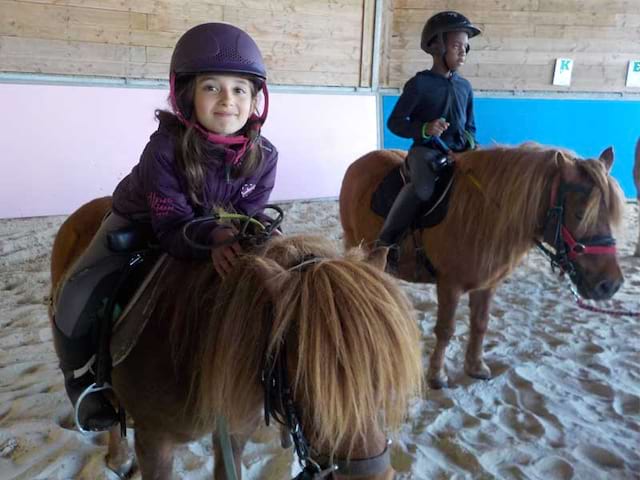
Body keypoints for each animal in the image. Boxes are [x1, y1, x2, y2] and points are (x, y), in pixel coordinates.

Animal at [340, 144, 624, 388]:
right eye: (579, 214)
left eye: (609, 214)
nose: (610, 284)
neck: (485, 213)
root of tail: (358, 163)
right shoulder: (449, 285)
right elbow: (446, 330)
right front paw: (437, 375)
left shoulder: (487, 284)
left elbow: (480, 324)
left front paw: (475, 367)